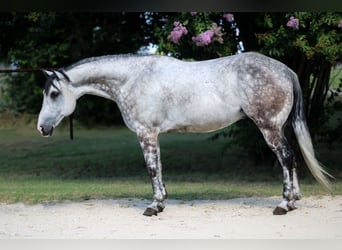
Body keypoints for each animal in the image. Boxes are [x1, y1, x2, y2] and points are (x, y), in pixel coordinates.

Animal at [37, 51, 332, 216]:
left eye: (54, 94)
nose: (42, 128)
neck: (133, 78)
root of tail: (285, 69)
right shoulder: (153, 135)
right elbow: (158, 168)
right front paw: (161, 202)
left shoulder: (146, 133)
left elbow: (152, 169)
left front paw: (154, 207)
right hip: (279, 128)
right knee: (291, 158)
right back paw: (294, 200)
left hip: (269, 127)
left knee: (286, 157)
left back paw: (284, 204)